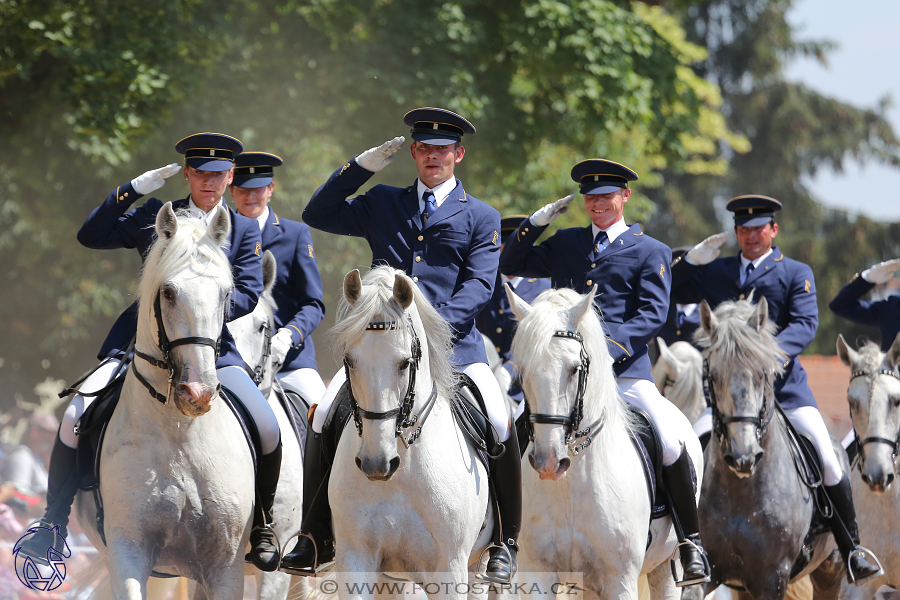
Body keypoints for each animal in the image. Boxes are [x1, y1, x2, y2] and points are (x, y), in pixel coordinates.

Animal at [75, 204, 255, 596]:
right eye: (169, 292)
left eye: (225, 294)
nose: (198, 393)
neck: (180, 431)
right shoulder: (128, 549)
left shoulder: (225, 564)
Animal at [506, 286, 696, 600]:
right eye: (522, 370)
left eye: (574, 369)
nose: (548, 462)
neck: (571, 486)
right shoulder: (537, 573)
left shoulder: (620, 580)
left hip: (666, 566)